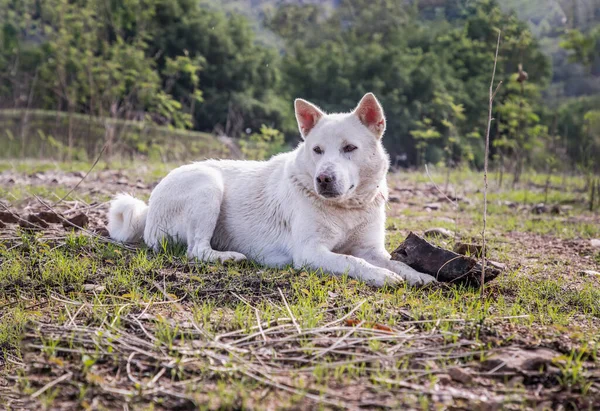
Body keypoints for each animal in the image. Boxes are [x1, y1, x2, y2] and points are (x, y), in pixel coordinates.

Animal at [108, 93, 436, 286]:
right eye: (317, 150)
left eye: (349, 148)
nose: (323, 179)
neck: (345, 209)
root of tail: (148, 208)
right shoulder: (310, 252)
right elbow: (351, 261)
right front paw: (381, 276)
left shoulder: (371, 249)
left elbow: (395, 262)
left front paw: (417, 275)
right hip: (207, 184)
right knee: (196, 250)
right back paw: (229, 257)